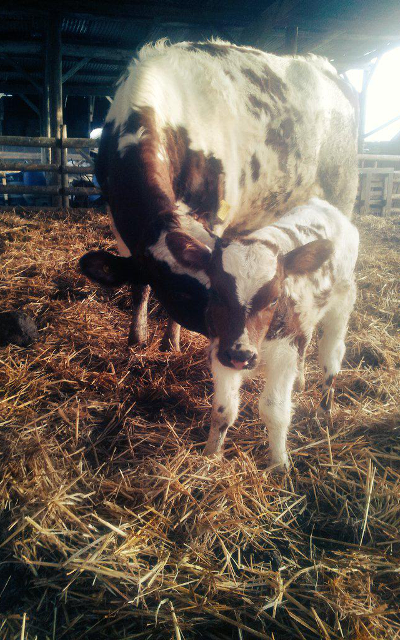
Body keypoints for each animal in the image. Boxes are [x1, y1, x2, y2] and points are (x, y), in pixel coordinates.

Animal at [81, 39, 358, 350]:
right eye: (181, 294)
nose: (235, 338)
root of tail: (325, 67)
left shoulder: (214, 215)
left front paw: (171, 342)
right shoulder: (121, 224)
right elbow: (139, 284)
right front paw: (136, 337)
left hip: (342, 192)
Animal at [165, 198, 359, 469]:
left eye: (274, 299)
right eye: (216, 293)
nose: (242, 355)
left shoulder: (284, 353)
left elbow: (274, 410)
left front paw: (279, 464)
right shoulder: (222, 350)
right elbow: (223, 410)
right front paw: (211, 455)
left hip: (342, 303)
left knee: (331, 356)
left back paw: (323, 412)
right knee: (307, 341)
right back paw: (300, 382)